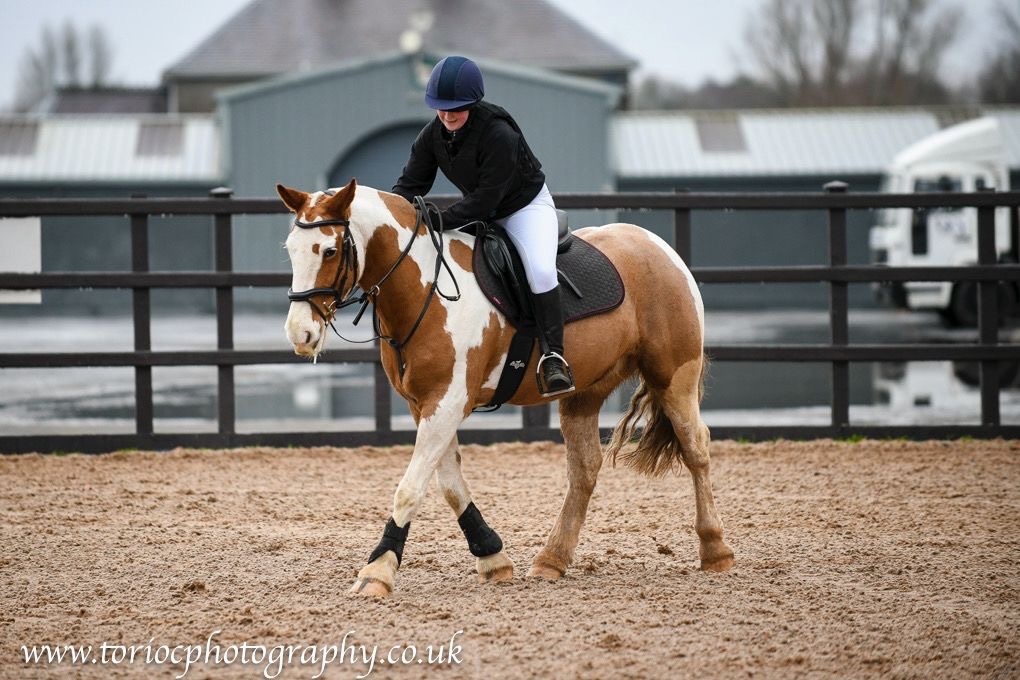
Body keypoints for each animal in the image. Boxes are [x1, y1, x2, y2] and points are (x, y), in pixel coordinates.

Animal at [277, 178, 734, 597]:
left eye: (330, 251)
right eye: (290, 249)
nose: (300, 334)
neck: (425, 289)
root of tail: (656, 245)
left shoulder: (447, 402)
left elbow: (410, 489)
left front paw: (378, 571)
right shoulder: (425, 405)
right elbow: (449, 486)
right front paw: (492, 556)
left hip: (673, 376)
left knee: (696, 447)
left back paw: (715, 550)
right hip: (584, 394)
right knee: (585, 469)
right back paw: (552, 559)